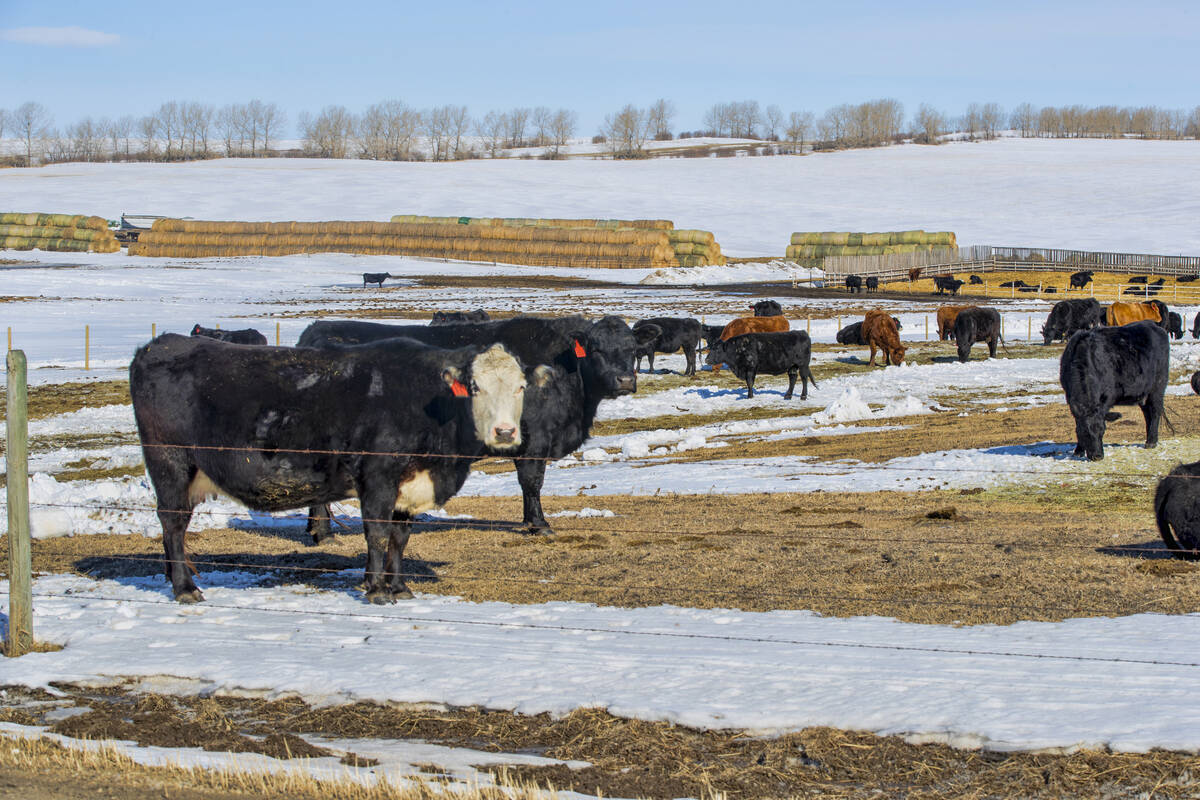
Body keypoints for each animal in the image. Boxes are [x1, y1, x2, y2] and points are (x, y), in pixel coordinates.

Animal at [130, 333, 539, 604]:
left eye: (520, 387)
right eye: (475, 386)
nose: (505, 432)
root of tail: (159, 344)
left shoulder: (409, 485)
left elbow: (400, 537)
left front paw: (399, 587)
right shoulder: (377, 477)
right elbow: (377, 534)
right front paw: (377, 591)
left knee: (176, 524)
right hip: (170, 462)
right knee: (172, 523)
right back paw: (185, 588)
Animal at [297, 315, 651, 535]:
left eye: (633, 350)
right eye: (597, 349)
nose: (624, 380)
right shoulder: (534, 439)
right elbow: (532, 482)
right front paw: (539, 525)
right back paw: (323, 530)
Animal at [1059, 320, 1169, 461]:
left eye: (1103, 430)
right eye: (1085, 433)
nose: (1098, 456)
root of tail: (1154, 325)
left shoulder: (1106, 397)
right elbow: (1078, 423)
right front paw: (1078, 450)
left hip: (1158, 387)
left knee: (1155, 411)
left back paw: (1151, 442)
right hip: (1143, 393)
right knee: (1147, 413)